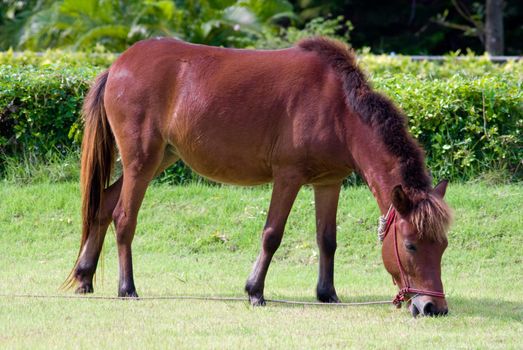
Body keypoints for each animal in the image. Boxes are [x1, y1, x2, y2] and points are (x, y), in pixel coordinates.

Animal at [65, 37, 452, 318]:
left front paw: (327, 293)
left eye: (443, 246)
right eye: (410, 245)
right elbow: (272, 235)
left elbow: (327, 240)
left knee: (103, 206)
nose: (433, 307)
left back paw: (85, 276)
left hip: (161, 158)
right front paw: (255, 291)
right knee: (123, 217)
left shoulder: (328, 182)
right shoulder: (288, 177)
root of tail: (117, 66)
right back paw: (127, 288)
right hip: (141, 162)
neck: (338, 108)